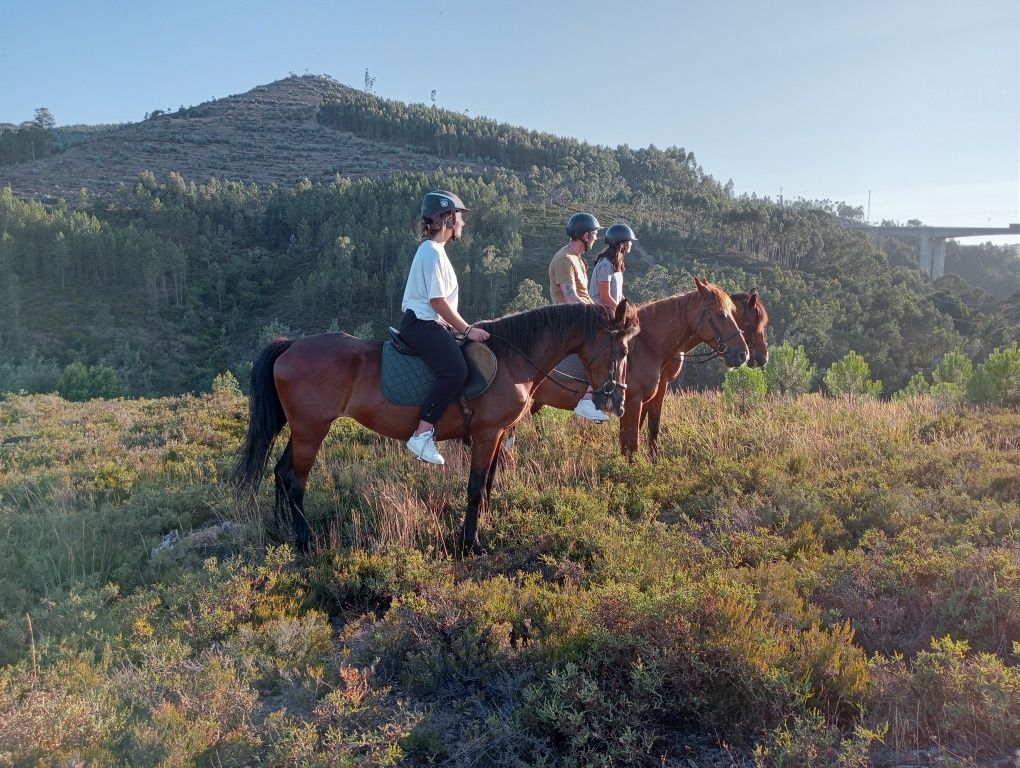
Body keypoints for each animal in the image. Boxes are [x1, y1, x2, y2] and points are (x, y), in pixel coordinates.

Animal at [234, 297, 640, 550]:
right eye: (621, 350)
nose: (617, 399)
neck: (513, 359)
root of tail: (291, 345)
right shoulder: (487, 434)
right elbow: (475, 487)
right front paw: (470, 543)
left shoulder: (494, 435)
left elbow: (488, 483)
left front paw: (483, 524)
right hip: (312, 429)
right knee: (294, 479)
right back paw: (305, 543)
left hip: (304, 427)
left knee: (281, 471)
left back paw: (282, 529)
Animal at [518, 279, 758, 461]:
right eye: (721, 315)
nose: (743, 355)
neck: (646, 346)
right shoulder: (634, 402)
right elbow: (633, 443)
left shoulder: (641, 401)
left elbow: (632, 439)